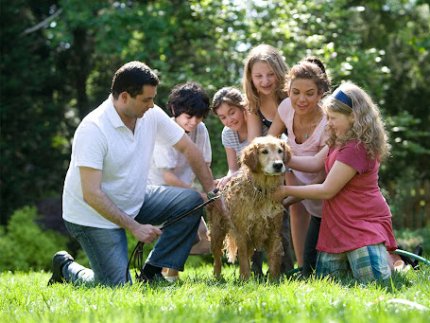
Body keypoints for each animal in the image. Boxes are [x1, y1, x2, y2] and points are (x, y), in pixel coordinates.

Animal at [208, 135, 292, 280]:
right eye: (264, 152)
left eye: (280, 151)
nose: (278, 165)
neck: (262, 190)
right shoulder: (242, 232)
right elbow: (243, 260)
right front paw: (245, 280)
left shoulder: (274, 231)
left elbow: (274, 259)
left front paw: (274, 280)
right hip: (217, 231)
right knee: (217, 258)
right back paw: (218, 278)